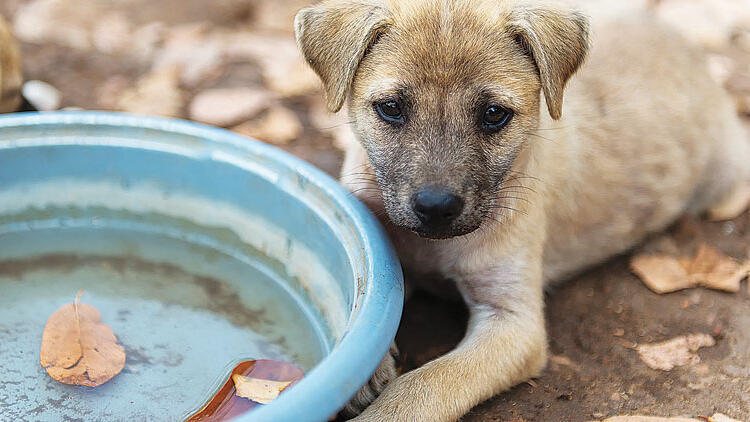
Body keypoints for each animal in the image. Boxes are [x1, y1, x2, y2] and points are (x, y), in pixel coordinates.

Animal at [296, 0, 750, 420]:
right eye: (391, 108)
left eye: (494, 114)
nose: (436, 207)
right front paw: (366, 370)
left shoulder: (513, 324)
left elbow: (426, 384)